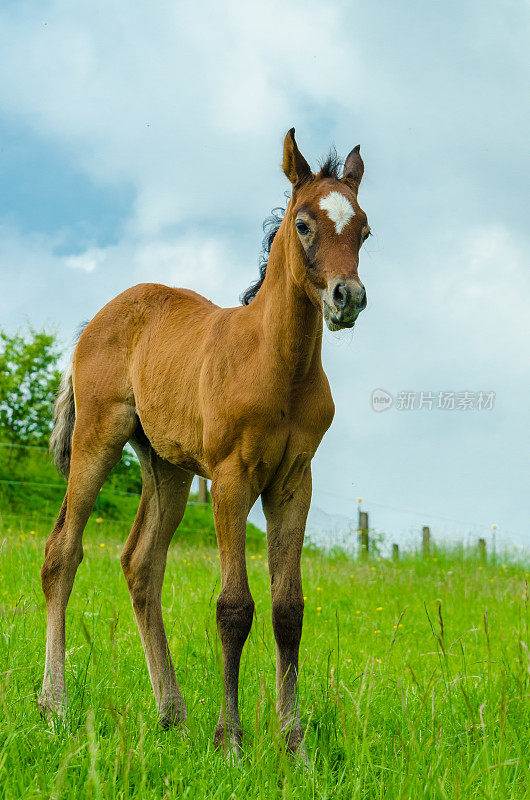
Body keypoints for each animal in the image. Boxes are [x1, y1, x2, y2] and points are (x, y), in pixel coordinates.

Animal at [39, 130, 368, 756]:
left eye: (364, 228)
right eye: (304, 224)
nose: (348, 298)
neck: (278, 367)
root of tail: (94, 322)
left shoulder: (294, 483)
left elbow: (288, 609)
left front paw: (293, 745)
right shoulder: (232, 478)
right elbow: (234, 607)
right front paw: (231, 740)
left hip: (167, 466)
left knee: (141, 564)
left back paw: (171, 713)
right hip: (98, 438)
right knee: (62, 553)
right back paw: (55, 704)